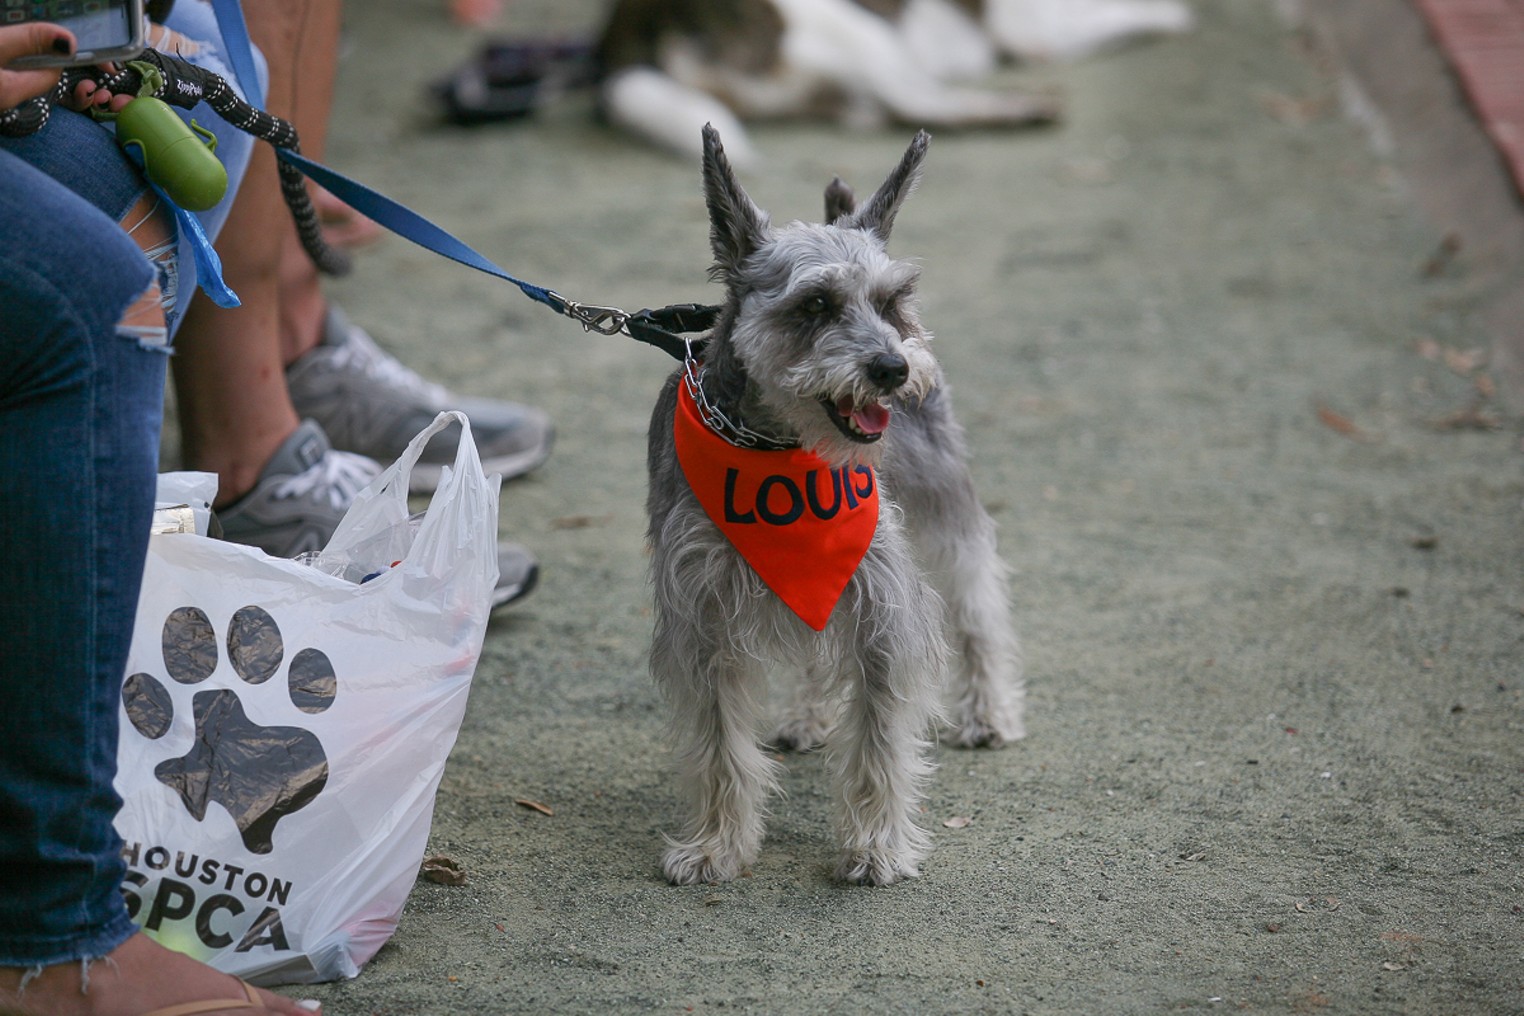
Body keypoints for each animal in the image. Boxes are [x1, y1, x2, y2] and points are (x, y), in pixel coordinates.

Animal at [591, 0, 1188, 165]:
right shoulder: (1036, 31)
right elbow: (1111, 14)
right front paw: (1170, 14)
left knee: (874, 112)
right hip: (858, 32)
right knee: (909, 106)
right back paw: (1018, 109)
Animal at [643, 124, 1024, 889]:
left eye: (891, 299)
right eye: (815, 304)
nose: (894, 369)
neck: (779, 449)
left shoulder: (880, 601)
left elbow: (879, 739)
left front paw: (876, 846)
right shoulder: (700, 618)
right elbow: (720, 744)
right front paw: (716, 845)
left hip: (944, 509)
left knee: (978, 604)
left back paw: (988, 710)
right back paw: (811, 718)